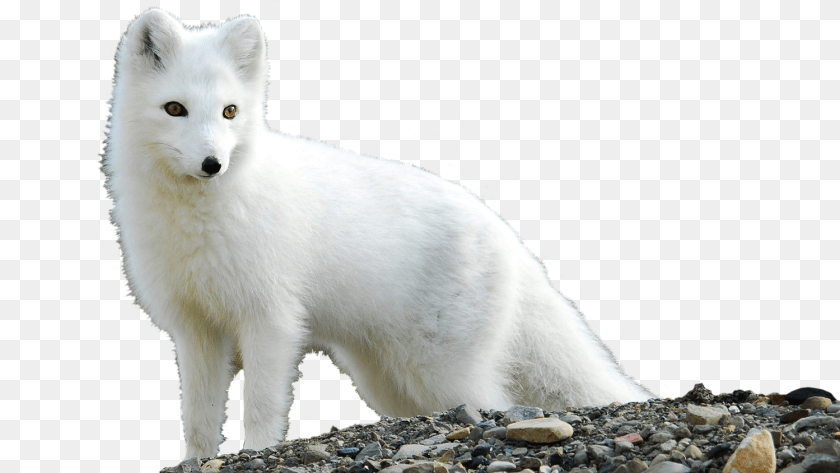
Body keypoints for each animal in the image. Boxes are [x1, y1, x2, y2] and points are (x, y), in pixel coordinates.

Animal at [102, 9, 654, 459]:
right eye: (175, 109)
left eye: (230, 112)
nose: (213, 164)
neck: (197, 221)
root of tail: (506, 234)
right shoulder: (195, 328)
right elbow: (197, 416)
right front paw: (194, 460)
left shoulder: (271, 318)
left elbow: (260, 404)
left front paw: (255, 451)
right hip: (386, 377)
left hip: (440, 370)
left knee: (494, 403)